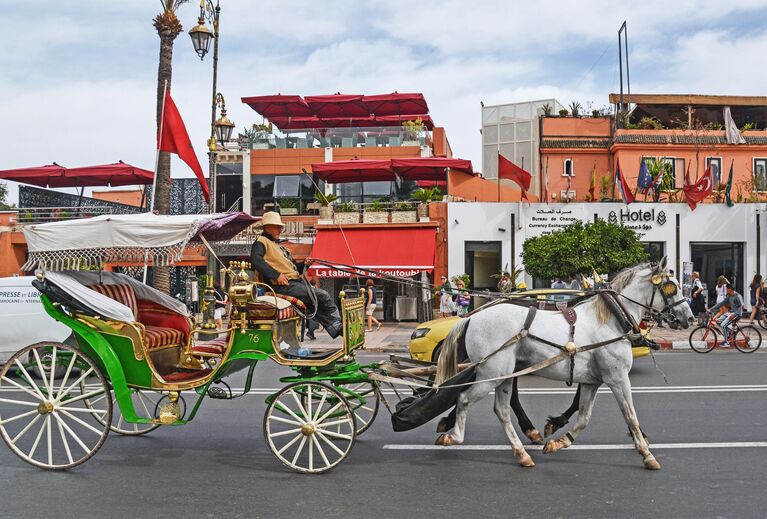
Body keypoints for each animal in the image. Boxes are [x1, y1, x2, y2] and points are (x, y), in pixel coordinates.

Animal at [436, 260, 692, 472]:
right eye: (673, 287)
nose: (689, 318)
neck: (610, 320)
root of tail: (471, 317)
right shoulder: (618, 378)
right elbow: (630, 416)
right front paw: (646, 453)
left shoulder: (591, 382)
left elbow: (584, 417)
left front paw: (558, 441)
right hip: (491, 373)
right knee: (464, 399)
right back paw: (455, 435)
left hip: (504, 374)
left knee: (502, 410)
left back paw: (522, 452)